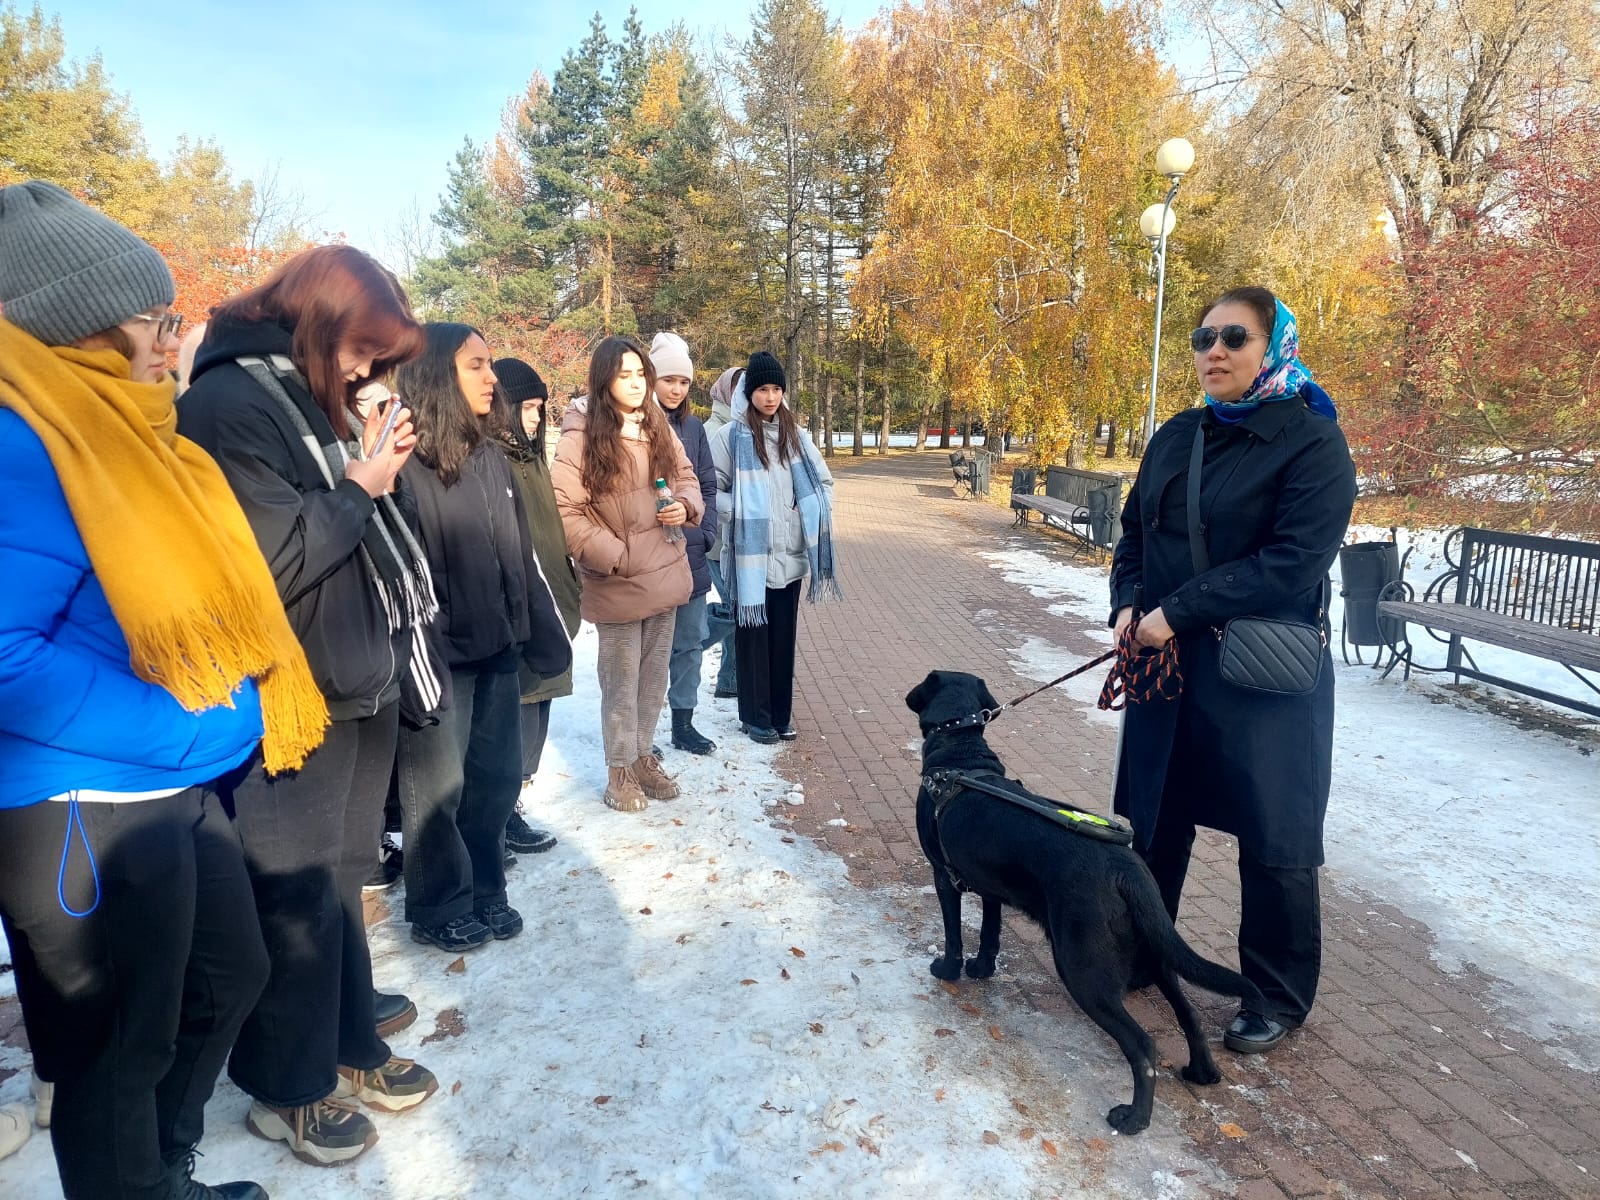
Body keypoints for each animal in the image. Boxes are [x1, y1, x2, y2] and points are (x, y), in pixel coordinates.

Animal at [915, 672, 1260, 1139]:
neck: (960, 757)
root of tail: (1127, 871)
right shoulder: (991, 888)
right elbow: (989, 934)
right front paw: (982, 969)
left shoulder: (944, 875)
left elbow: (954, 934)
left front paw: (948, 971)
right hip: (1155, 954)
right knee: (1188, 1013)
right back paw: (1202, 1072)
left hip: (1082, 967)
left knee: (1143, 1046)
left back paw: (1134, 1118)